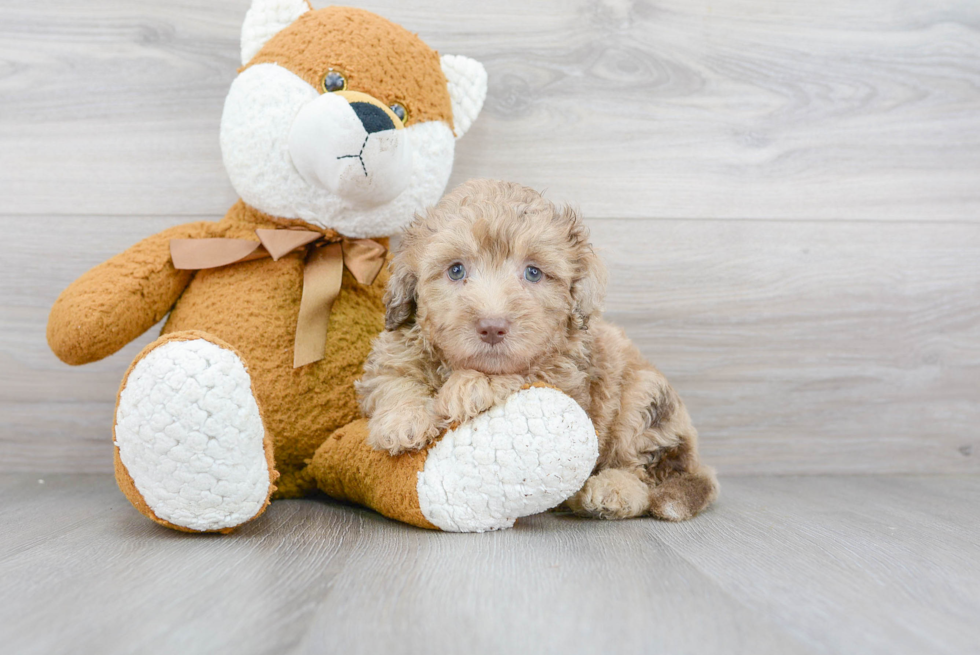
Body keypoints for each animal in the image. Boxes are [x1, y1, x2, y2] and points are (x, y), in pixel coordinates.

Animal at [356, 179, 716, 524]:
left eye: (533, 273)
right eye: (456, 270)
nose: (492, 326)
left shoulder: (563, 376)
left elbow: (519, 373)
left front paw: (468, 387)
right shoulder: (394, 351)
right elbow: (394, 379)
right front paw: (403, 422)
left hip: (643, 400)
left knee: (642, 471)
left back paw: (612, 492)